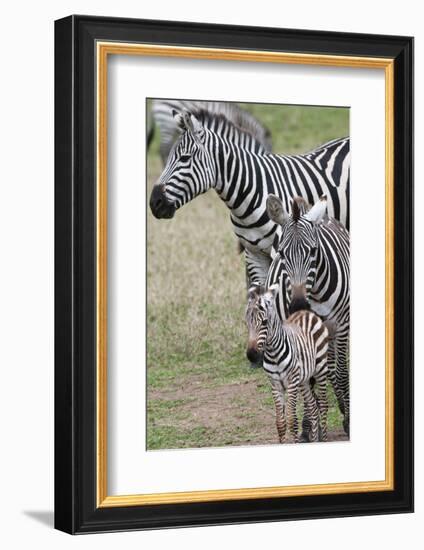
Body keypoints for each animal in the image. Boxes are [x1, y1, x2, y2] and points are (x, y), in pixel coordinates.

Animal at [243, 284, 330, 444]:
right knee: (313, 407)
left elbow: (292, 420)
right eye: (247, 323)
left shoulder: (291, 383)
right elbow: (280, 423)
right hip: (304, 380)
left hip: (320, 369)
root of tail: (305, 312)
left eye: (264, 322)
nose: (251, 355)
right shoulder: (275, 384)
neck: (273, 354)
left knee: (323, 406)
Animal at [264, 197, 352, 436]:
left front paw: (348, 420)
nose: (298, 304)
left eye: (313, 251)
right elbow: (308, 377)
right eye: (282, 253)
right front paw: (307, 427)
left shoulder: (342, 326)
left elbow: (341, 372)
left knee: (333, 369)